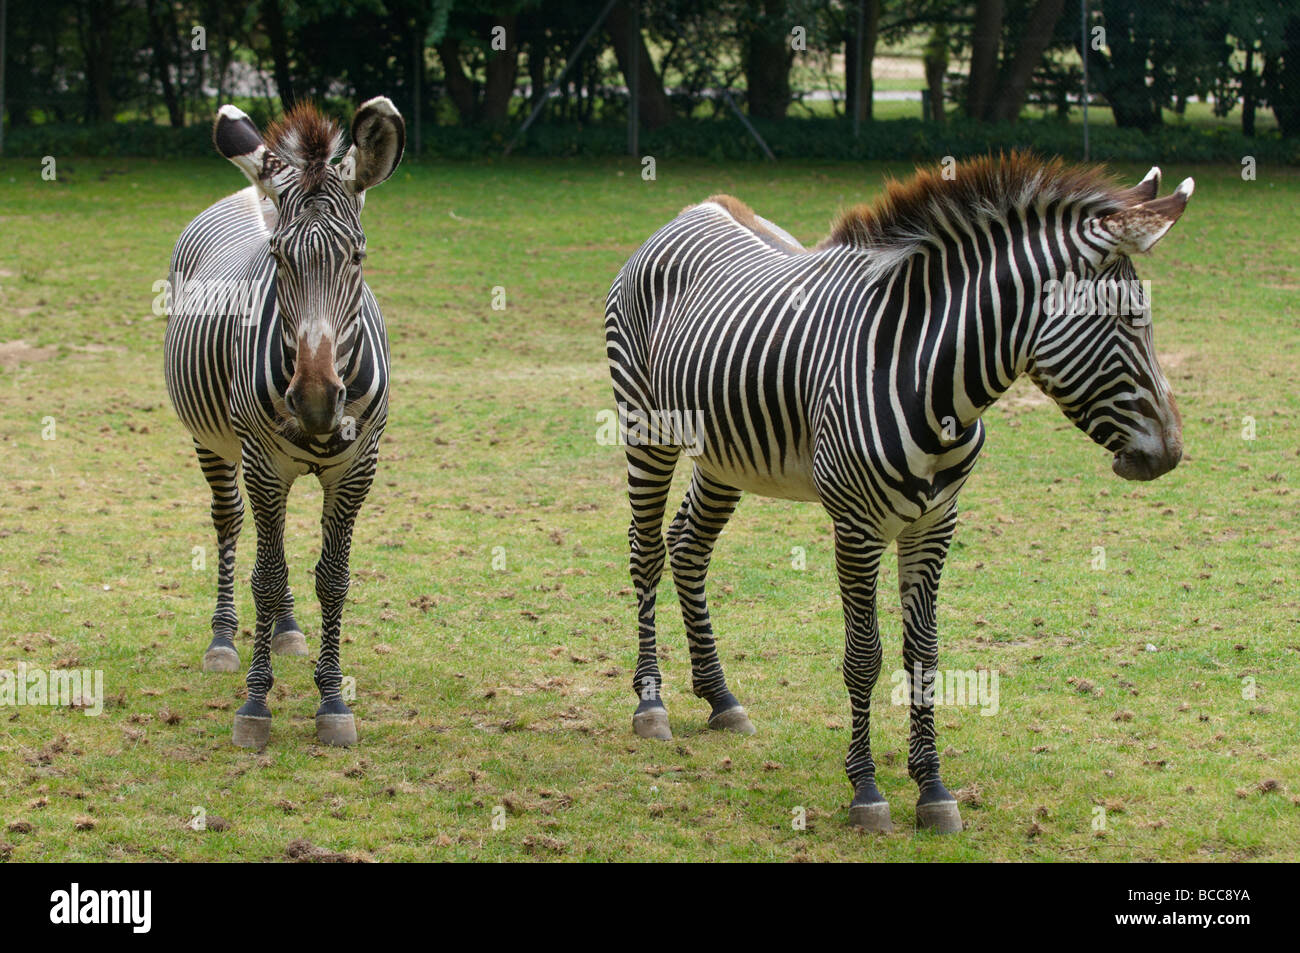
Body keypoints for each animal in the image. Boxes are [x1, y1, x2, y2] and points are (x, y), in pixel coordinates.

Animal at [165, 98, 403, 748]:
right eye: (278, 259)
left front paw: (332, 699)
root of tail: (251, 189)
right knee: (231, 523)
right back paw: (224, 639)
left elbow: (333, 578)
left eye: (356, 257)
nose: (318, 400)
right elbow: (266, 576)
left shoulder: (357, 468)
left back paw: (288, 630)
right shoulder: (263, 464)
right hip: (217, 445)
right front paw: (255, 705)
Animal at [603, 156, 1190, 832]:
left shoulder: (936, 523)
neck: (934, 383)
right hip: (644, 426)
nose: (1171, 454)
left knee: (689, 547)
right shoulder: (856, 527)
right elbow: (865, 656)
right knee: (647, 550)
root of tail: (696, 208)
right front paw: (867, 791)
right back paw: (651, 705)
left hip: (725, 453)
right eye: (1122, 321)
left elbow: (925, 655)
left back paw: (721, 697)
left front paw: (933, 787)